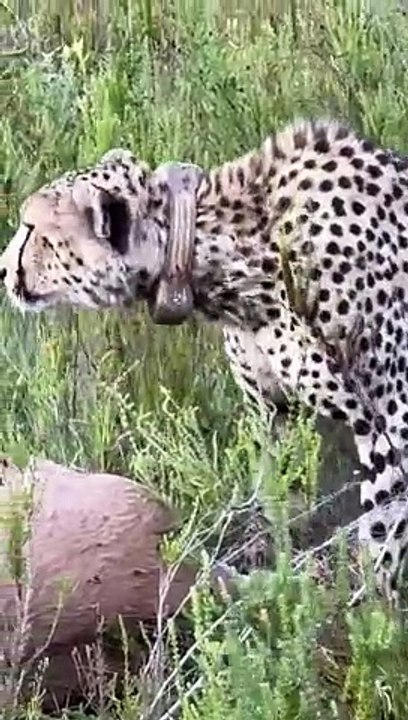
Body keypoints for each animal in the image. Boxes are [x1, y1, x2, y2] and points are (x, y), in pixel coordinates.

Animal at [3, 117, 408, 604]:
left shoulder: (390, 416)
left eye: (32, 228)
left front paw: (370, 611)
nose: (2, 269)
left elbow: (385, 523)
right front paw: (281, 590)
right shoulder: (275, 412)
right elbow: (280, 505)